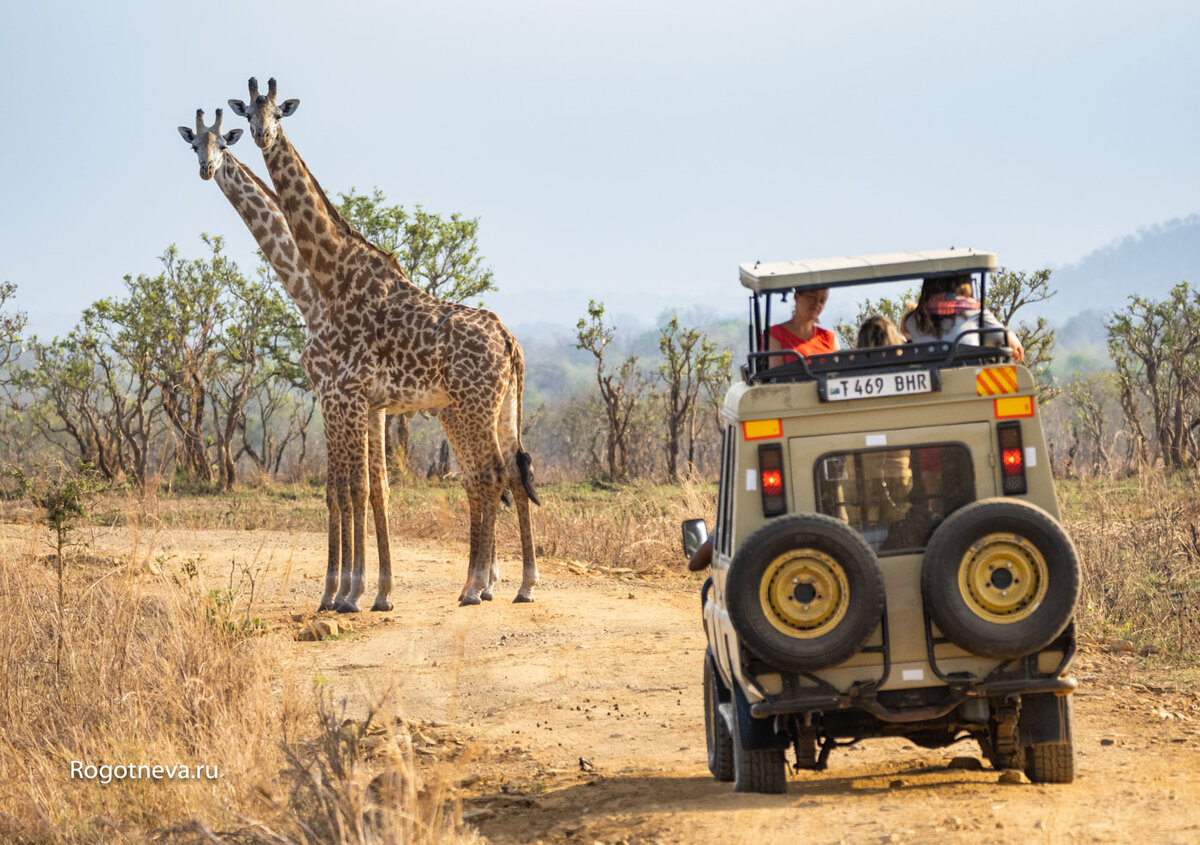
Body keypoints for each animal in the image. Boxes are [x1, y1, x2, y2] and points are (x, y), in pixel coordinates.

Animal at [229, 79, 540, 604]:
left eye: (278, 112)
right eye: (249, 111)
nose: (260, 135)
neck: (329, 277)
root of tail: (509, 340)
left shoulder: (346, 393)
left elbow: (352, 487)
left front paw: (349, 595)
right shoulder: (363, 400)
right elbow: (367, 488)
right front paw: (367, 593)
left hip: (472, 407)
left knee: (489, 475)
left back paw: (477, 586)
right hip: (494, 407)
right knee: (508, 473)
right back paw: (519, 584)